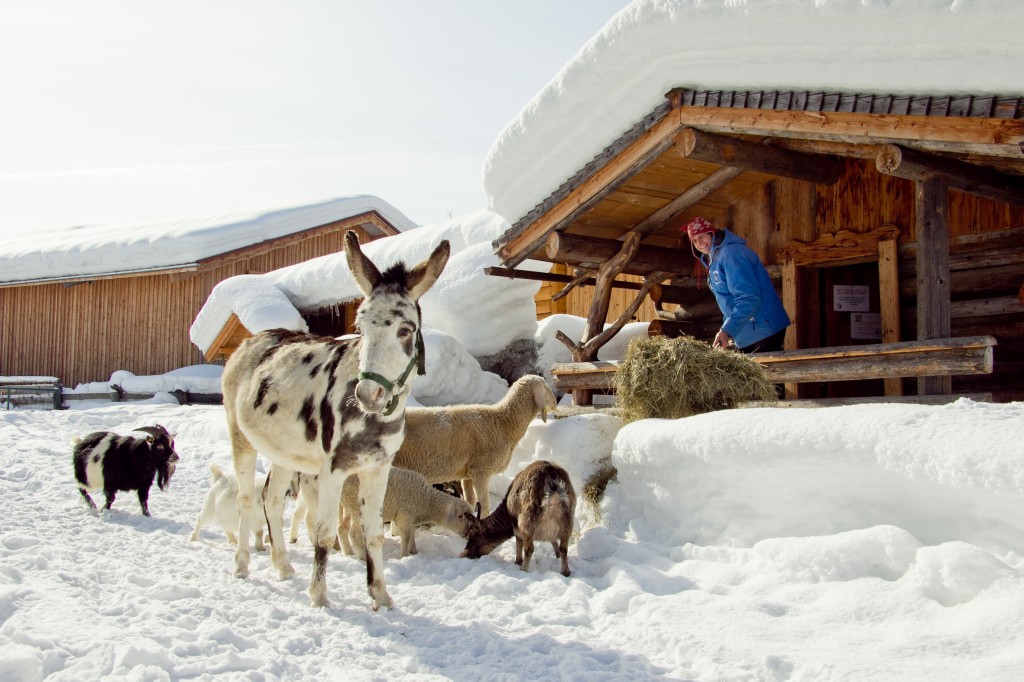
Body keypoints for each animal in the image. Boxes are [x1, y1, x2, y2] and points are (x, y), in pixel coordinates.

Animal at [391, 372, 557, 516]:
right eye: (544, 386)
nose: (555, 402)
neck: (503, 422)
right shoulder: (481, 471)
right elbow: (484, 506)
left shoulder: (467, 473)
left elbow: (469, 501)